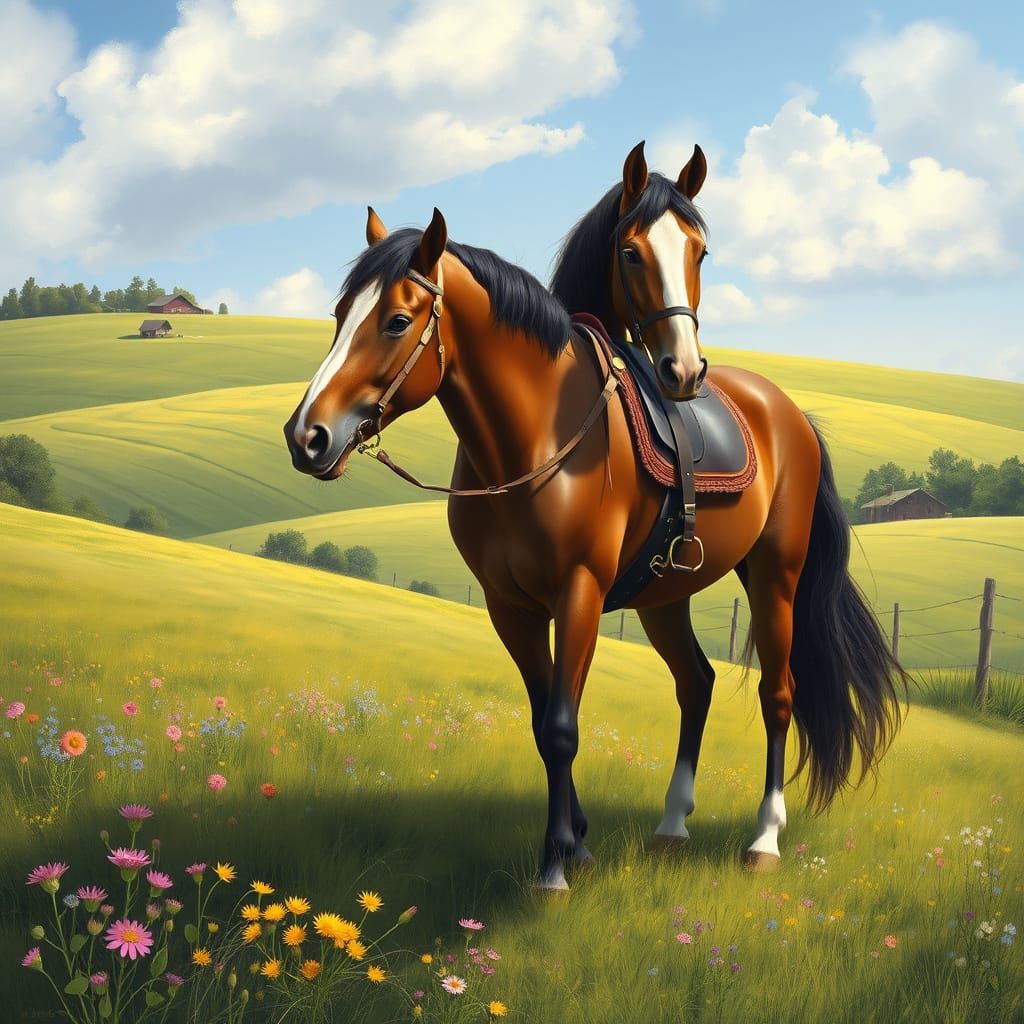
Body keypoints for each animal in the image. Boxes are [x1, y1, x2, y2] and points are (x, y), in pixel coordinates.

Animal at [283, 196, 905, 893]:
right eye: (339, 314)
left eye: (395, 321)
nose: (306, 436)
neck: (534, 440)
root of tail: (789, 413)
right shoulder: (510, 607)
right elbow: (544, 719)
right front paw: (577, 842)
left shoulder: (577, 591)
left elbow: (561, 726)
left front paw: (555, 866)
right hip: (665, 596)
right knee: (697, 682)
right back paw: (672, 827)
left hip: (775, 576)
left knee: (778, 692)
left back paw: (764, 839)